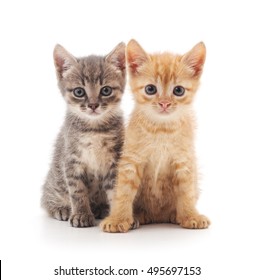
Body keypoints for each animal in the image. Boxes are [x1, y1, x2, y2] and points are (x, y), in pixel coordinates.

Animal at [41, 43, 126, 228]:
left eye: (106, 90)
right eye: (79, 92)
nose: (93, 105)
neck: (94, 130)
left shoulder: (115, 159)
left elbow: (117, 189)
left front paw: (118, 216)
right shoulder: (71, 160)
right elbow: (77, 191)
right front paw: (81, 214)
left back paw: (102, 208)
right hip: (55, 182)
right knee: (46, 199)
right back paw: (62, 208)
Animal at [101, 39, 210, 232]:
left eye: (178, 90)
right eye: (150, 89)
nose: (164, 103)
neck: (161, 129)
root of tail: (158, 218)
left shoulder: (184, 161)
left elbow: (187, 192)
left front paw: (191, 215)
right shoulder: (131, 160)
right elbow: (123, 192)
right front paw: (118, 218)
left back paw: (176, 215)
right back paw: (138, 216)